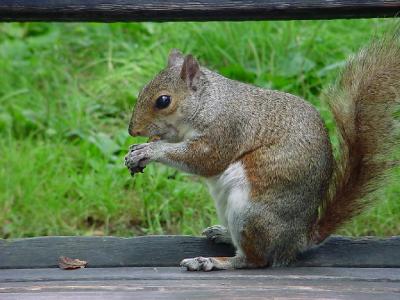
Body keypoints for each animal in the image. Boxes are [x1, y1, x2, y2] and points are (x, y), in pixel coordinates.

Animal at [124, 31, 400, 272]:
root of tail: (299, 239)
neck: (208, 102)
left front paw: (149, 150)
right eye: (142, 89)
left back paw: (210, 262)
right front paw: (137, 151)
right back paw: (222, 234)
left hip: (249, 211)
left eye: (163, 101)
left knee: (255, 260)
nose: (132, 130)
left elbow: (205, 160)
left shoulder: (225, 130)